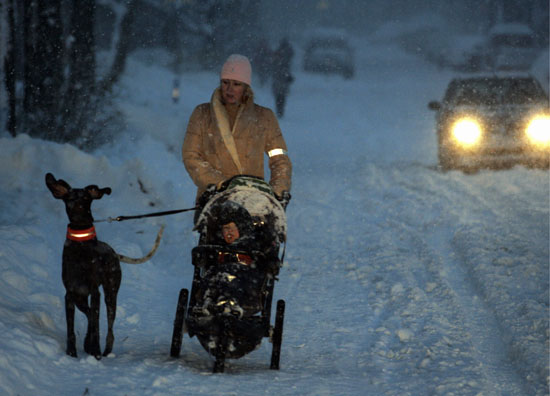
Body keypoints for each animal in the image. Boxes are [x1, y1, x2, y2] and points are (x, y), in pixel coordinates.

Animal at [46, 173, 163, 358]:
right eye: (70, 198)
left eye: (86, 198)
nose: (79, 208)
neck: (80, 246)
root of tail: (115, 253)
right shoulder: (71, 293)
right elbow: (74, 326)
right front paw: (72, 351)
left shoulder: (95, 292)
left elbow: (95, 321)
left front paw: (95, 350)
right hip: (85, 296)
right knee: (90, 316)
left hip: (110, 294)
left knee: (108, 327)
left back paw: (104, 349)